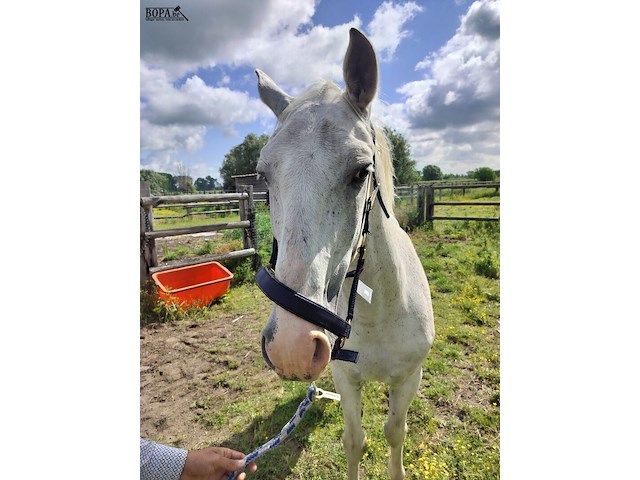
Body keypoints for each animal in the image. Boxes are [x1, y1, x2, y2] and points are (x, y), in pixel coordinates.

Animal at [254, 28, 435, 480]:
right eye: (264, 176)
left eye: (361, 172)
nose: (292, 347)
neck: (376, 311)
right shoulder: (345, 378)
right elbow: (355, 441)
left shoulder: (409, 379)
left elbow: (395, 435)